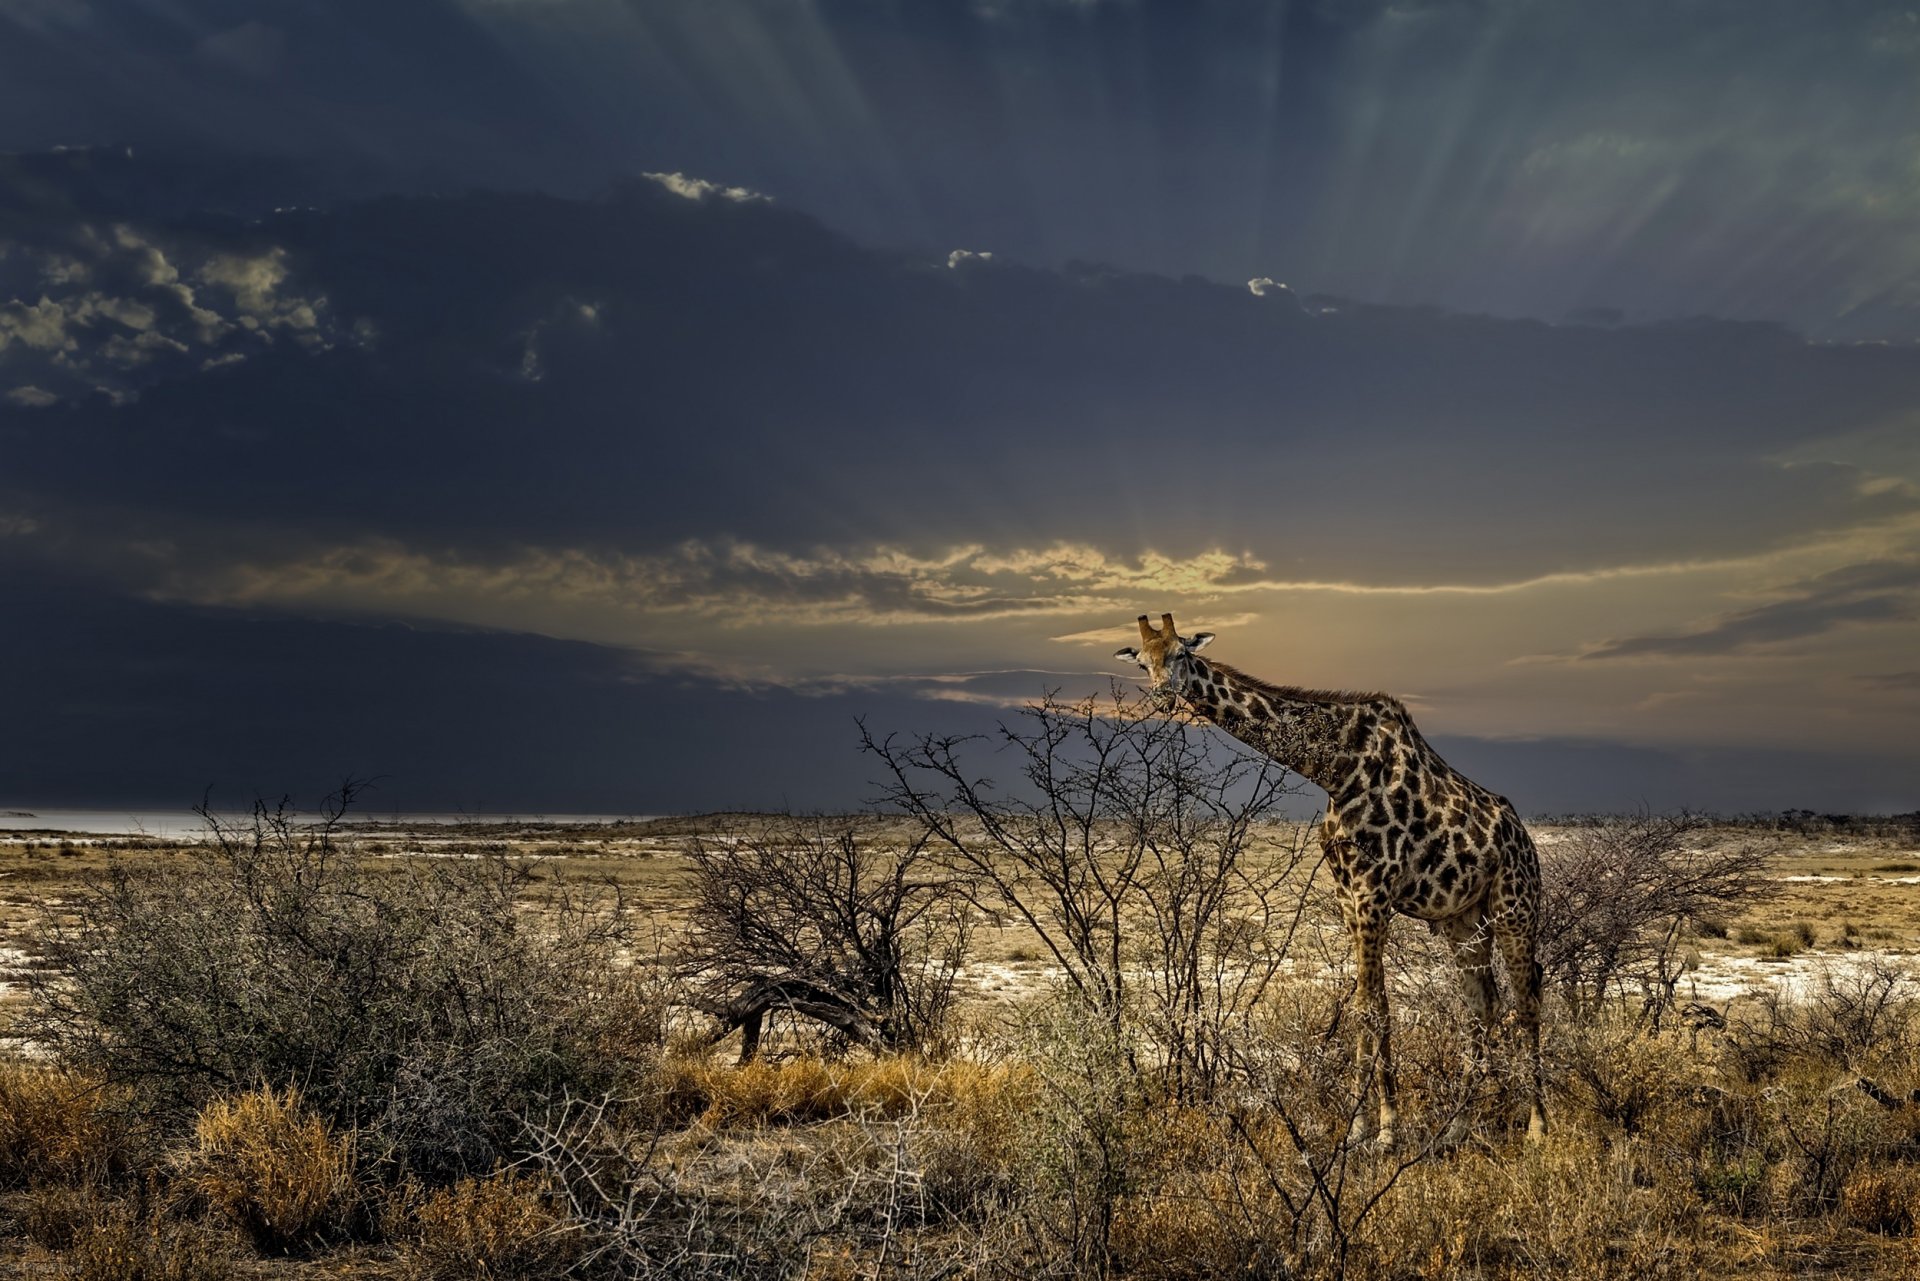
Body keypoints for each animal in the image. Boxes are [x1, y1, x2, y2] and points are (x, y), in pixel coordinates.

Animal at [1115, 613, 1545, 1148]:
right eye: (1143, 662)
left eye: (1180, 654)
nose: (1162, 697)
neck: (1336, 769)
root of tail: (1525, 840)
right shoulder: (1348, 895)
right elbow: (1372, 1003)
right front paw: (1364, 1127)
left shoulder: (1375, 890)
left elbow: (1369, 1007)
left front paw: (1382, 1130)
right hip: (1463, 920)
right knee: (1482, 1005)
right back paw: (1456, 1128)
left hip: (1515, 906)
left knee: (1526, 1000)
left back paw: (1537, 1126)